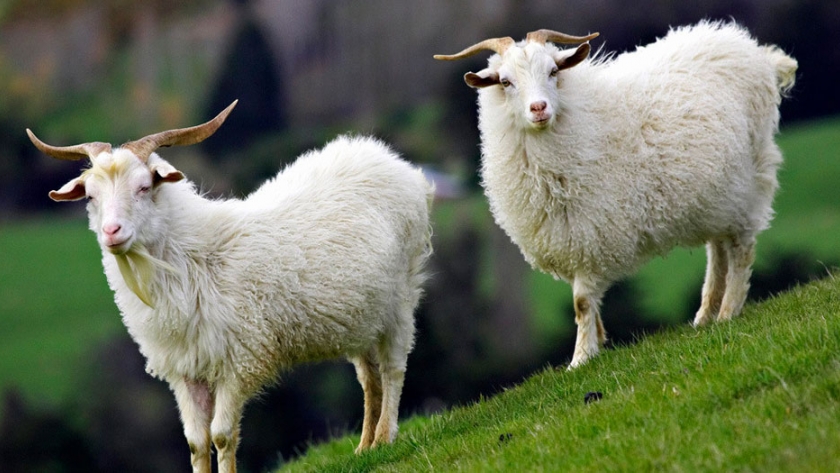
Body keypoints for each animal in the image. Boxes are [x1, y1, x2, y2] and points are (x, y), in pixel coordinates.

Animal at [27, 101, 434, 472]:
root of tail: (381, 154)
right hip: (363, 316)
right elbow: (196, 442)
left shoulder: (240, 359)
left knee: (393, 369)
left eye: (143, 187)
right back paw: (366, 447)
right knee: (369, 378)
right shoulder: (185, 368)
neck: (196, 257)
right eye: (91, 197)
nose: (112, 232)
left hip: (402, 295)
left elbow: (222, 436)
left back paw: (386, 437)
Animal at [435, 21, 797, 368]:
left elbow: (580, 302)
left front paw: (580, 358)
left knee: (741, 250)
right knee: (718, 249)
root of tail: (750, 49)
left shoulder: (589, 231)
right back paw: (705, 315)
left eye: (553, 71)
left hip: (750, 178)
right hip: (717, 195)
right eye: (505, 82)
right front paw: (597, 341)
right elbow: (583, 303)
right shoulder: (567, 237)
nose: (539, 108)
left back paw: (728, 311)